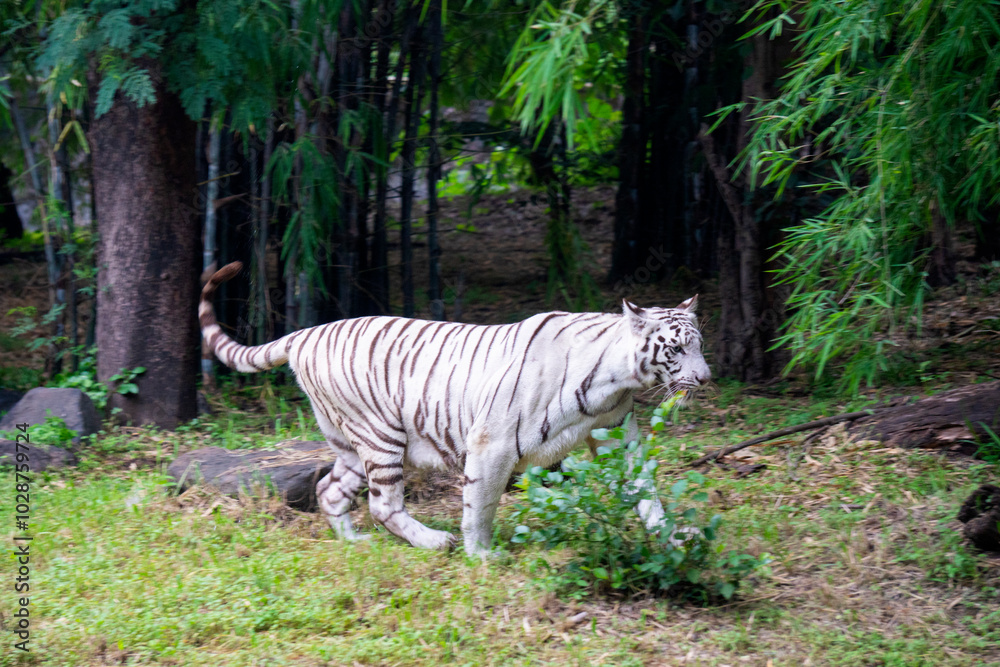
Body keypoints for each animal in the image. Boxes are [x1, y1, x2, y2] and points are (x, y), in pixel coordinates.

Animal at [199, 261, 710, 556]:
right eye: (676, 349)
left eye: (699, 345)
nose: (706, 378)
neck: (614, 380)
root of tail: (306, 331)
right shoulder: (492, 443)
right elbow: (480, 504)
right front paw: (480, 554)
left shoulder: (618, 436)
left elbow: (646, 492)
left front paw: (675, 538)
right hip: (382, 436)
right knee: (382, 505)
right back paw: (434, 541)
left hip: (352, 446)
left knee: (329, 489)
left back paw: (354, 542)